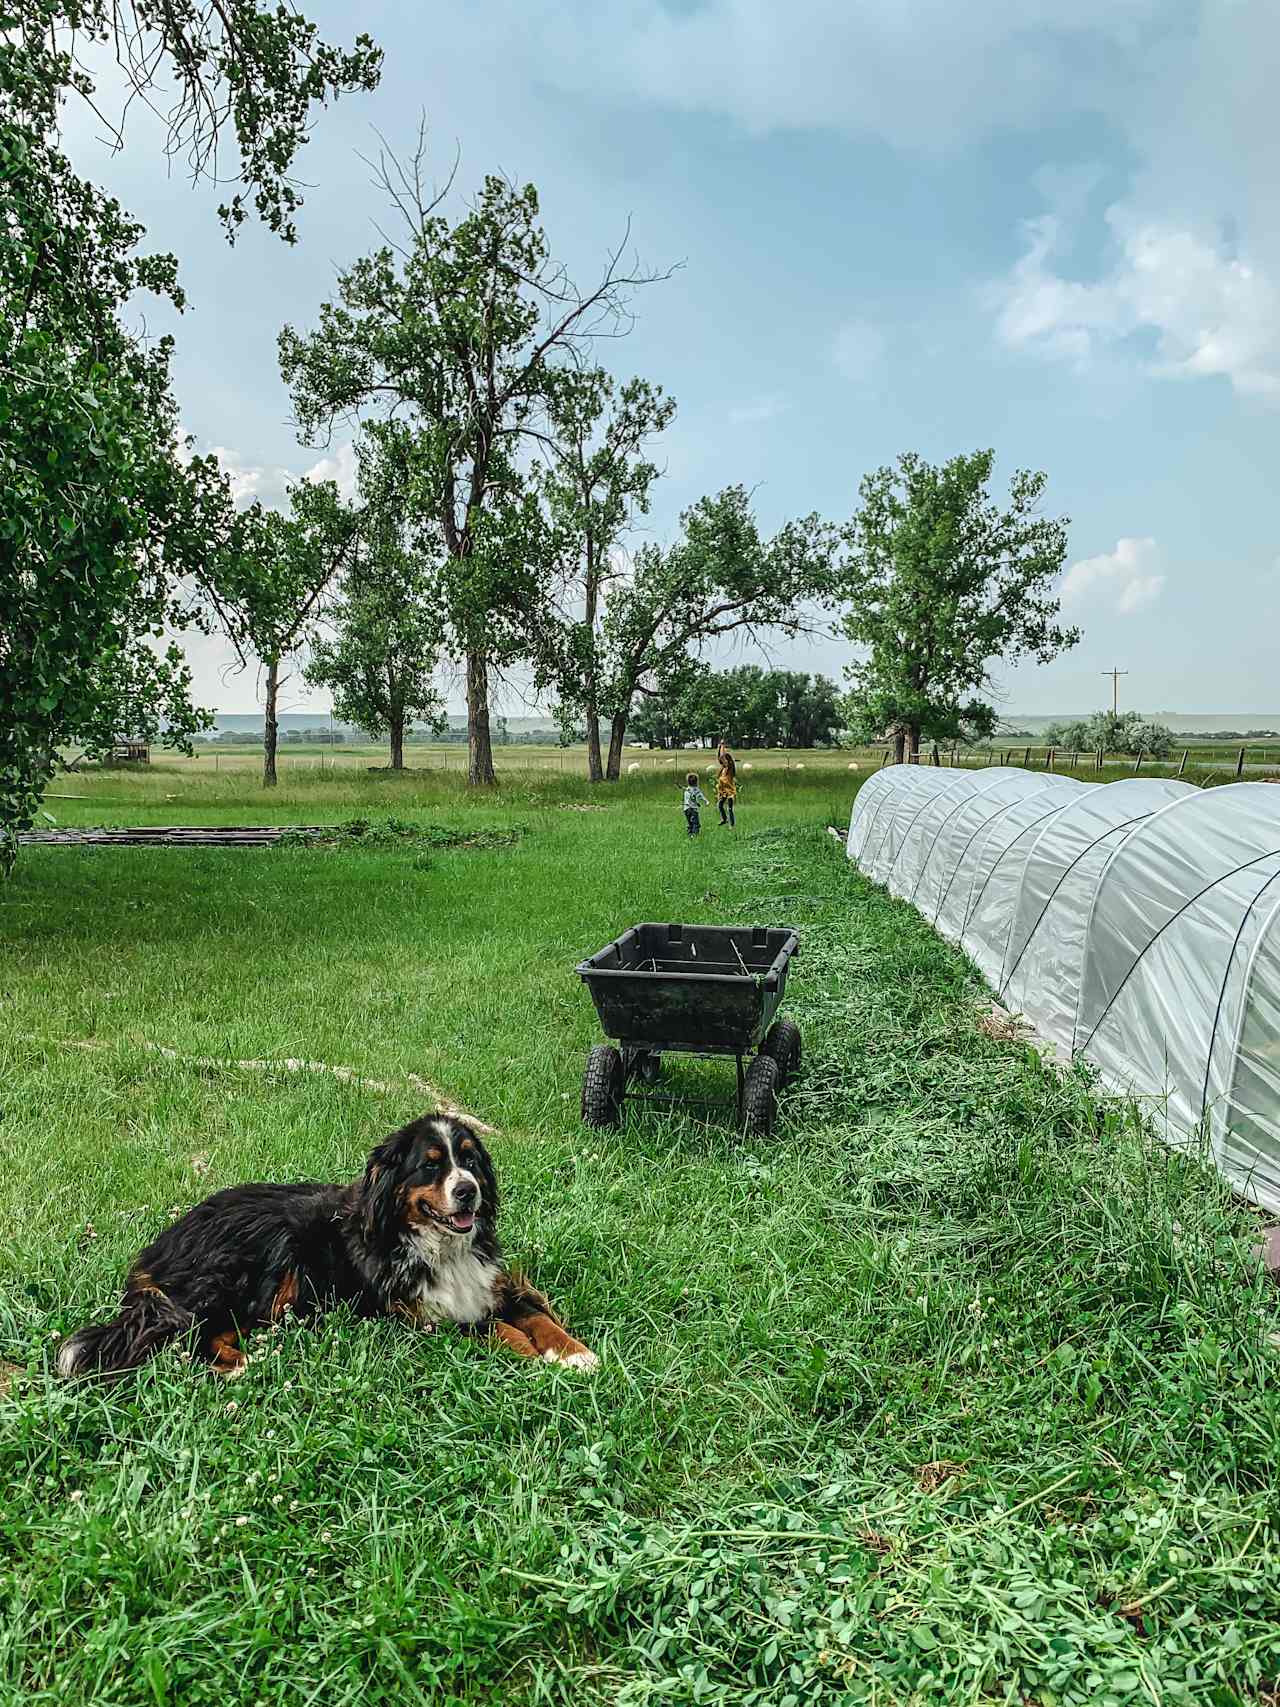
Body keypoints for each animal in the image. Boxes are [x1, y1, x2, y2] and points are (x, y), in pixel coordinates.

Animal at [56, 1112, 600, 1379]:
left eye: (467, 1159)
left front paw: (573, 1353)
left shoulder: (491, 1285)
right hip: (252, 1262)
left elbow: (536, 1317)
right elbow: (493, 1329)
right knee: (191, 1337)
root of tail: (159, 1246)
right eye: (430, 1165)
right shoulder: (416, 1317)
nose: (468, 1191)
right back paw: (239, 1365)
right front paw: (530, 1353)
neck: (436, 1246)